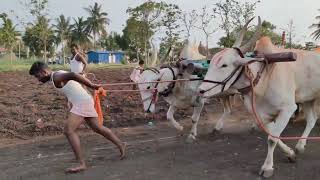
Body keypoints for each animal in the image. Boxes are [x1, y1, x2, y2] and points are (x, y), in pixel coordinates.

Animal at [199, 16, 320, 178]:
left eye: (224, 65)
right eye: (211, 62)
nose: (201, 90)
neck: (264, 77)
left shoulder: (288, 109)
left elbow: (272, 139)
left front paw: (267, 167)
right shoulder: (262, 115)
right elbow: (273, 135)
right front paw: (290, 153)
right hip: (307, 98)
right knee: (312, 119)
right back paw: (300, 146)